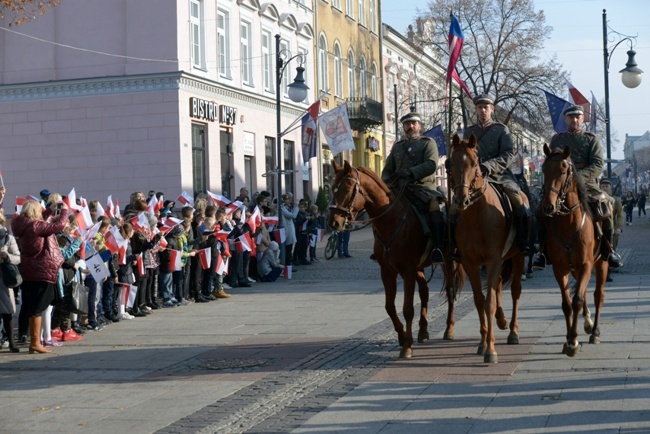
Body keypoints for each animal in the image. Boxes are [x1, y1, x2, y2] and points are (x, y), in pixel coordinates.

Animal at [326, 161, 458, 358]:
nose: (333, 222)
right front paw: (403, 337)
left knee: (449, 291)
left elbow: (408, 309)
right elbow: (390, 307)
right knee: (425, 292)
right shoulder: (388, 272)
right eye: (332, 188)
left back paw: (448, 329)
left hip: (449, 261)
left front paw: (407, 346)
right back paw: (423, 331)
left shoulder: (407, 271)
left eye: (348, 188)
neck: (391, 220)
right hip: (420, 267)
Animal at [448, 135, 524, 362]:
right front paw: (483, 343)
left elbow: (489, 301)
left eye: (475, 164)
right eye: (450, 163)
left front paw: (491, 350)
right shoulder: (470, 263)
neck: (477, 216)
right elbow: (479, 300)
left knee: (515, 290)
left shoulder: (493, 260)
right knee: (498, 285)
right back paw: (501, 320)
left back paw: (513, 331)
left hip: (518, 257)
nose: (461, 199)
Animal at [540, 145, 604, 356]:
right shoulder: (560, 269)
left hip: (601, 264)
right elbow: (567, 304)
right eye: (543, 170)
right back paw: (588, 323)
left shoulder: (586, 264)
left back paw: (595, 331)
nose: (548, 206)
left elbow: (576, 300)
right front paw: (568, 340)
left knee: (598, 295)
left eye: (563, 171)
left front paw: (574, 341)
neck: (569, 223)